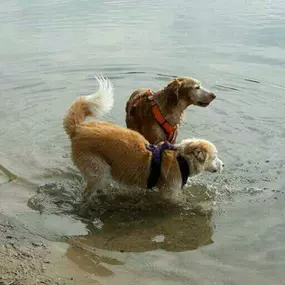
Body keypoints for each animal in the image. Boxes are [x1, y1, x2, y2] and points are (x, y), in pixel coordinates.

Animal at [63, 75, 222, 200]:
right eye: (214, 157)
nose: (224, 165)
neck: (181, 159)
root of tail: (78, 129)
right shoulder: (170, 194)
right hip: (98, 170)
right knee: (88, 191)